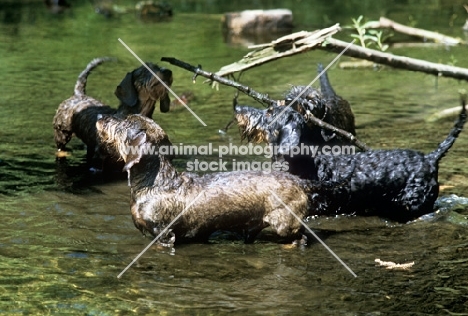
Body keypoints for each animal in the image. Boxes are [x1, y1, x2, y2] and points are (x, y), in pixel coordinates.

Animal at [94, 113, 348, 244]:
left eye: (122, 122)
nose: (99, 116)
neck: (156, 184)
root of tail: (301, 181)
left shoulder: (164, 234)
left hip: (284, 223)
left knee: (300, 237)